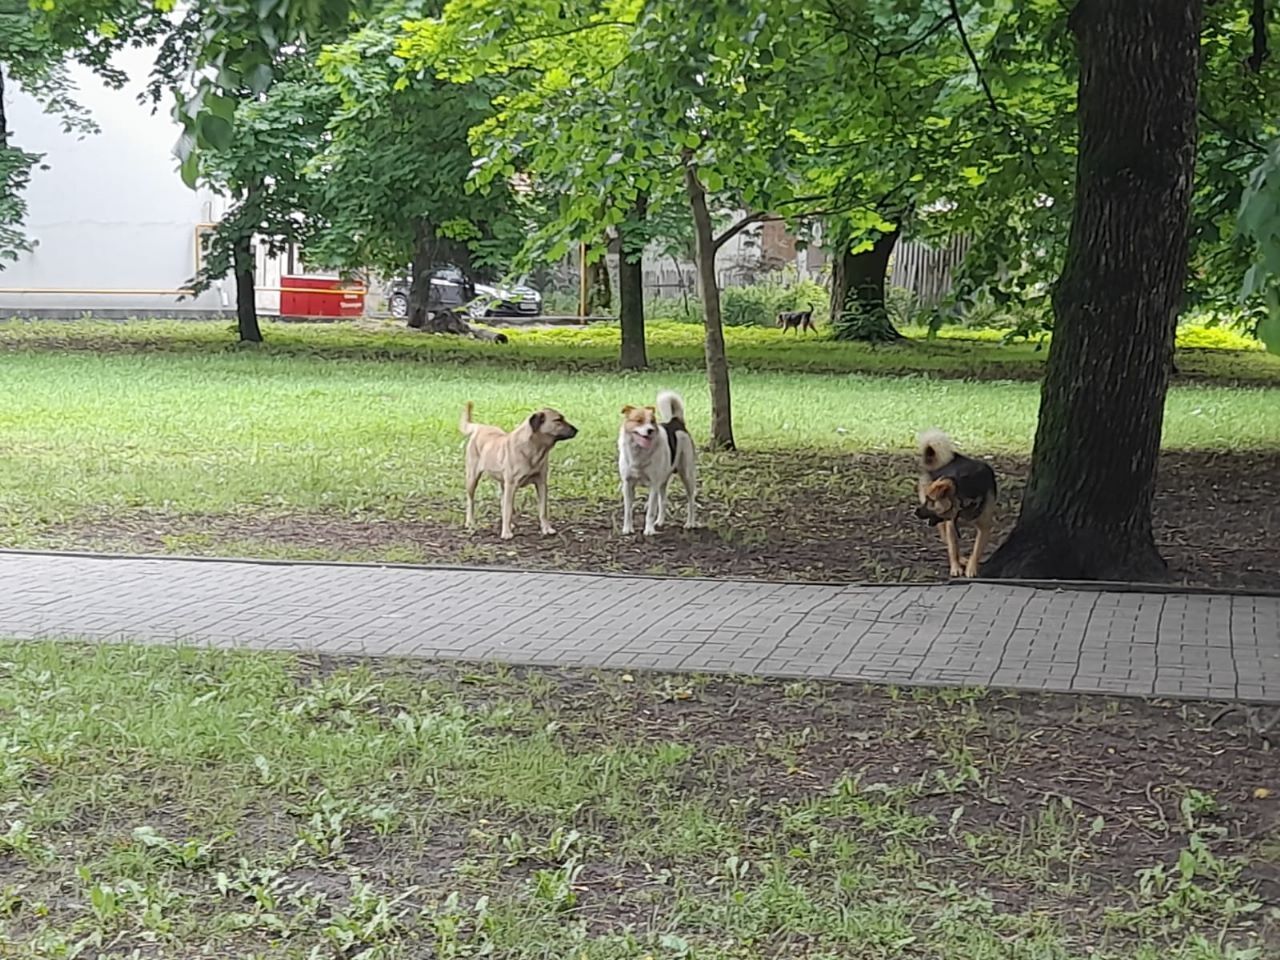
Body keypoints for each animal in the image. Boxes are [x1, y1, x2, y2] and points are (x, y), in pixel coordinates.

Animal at [463, 401, 578, 542]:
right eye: (558, 420)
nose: (576, 430)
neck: (534, 449)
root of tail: (480, 427)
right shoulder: (511, 485)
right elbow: (508, 510)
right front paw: (506, 533)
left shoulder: (541, 483)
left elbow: (543, 510)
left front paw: (546, 528)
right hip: (472, 478)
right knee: (471, 500)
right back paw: (470, 522)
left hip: (502, 483)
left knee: (502, 502)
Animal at [619, 391, 701, 542]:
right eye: (639, 420)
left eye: (652, 421)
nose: (650, 430)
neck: (639, 452)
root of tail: (676, 421)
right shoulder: (627, 484)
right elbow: (628, 510)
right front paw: (627, 528)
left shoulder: (653, 485)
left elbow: (651, 510)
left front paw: (649, 530)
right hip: (663, 480)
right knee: (663, 500)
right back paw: (660, 521)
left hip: (687, 475)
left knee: (691, 500)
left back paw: (690, 523)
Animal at [916, 430, 993, 578]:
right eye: (927, 499)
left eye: (930, 500)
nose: (915, 512)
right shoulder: (951, 524)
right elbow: (953, 549)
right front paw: (955, 566)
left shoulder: (985, 527)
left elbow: (977, 550)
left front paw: (971, 568)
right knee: (946, 539)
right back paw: (961, 559)